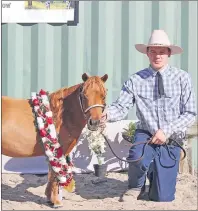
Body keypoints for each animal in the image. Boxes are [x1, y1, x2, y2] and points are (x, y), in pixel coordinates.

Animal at [1, 73, 108, 208]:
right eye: (84, 95)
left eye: (104, 95)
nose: (94, 123)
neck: (62, 115)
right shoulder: (58, 150)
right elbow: (55, 174)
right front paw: (56, 201)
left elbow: (51, 173)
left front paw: (49, 198)